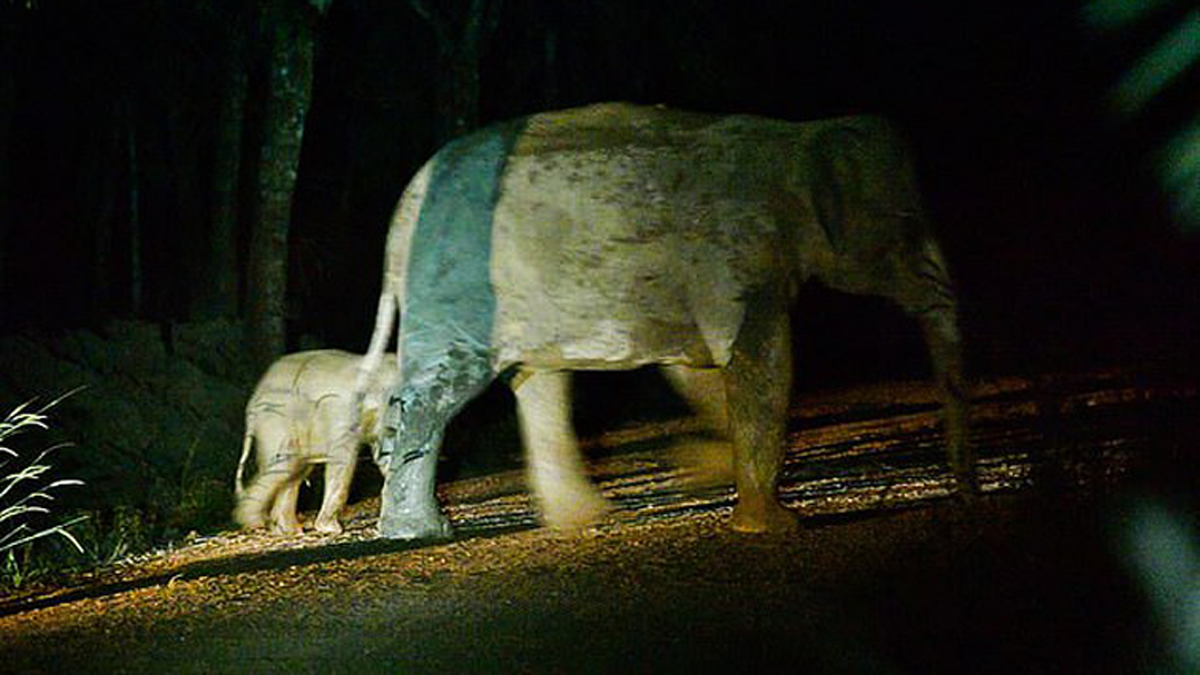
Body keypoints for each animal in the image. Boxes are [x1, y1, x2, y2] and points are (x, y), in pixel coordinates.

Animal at [235, 349, 398, 535]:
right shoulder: (345, 411)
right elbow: (343, 457)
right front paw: (329, 528)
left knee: (296, 469)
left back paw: (289, 531)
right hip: (276, 415)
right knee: (285, 464)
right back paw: (254, 521)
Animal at [356, 102, 972, 540]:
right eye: (908, 227)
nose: (965, 497)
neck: (796, 138)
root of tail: (402, 211)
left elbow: (697, 371)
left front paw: (700, 466)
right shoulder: (737, 256)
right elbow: (761, 361)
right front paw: (773, 526)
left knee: (540, 382)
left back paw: (585, 520)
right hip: (459, 287)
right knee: (438, 394)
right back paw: (424, 532)